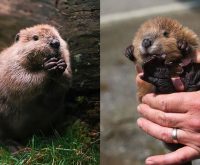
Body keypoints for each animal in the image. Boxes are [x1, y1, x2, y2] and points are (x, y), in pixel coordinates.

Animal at [0, 23, 72, 151]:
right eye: (35, 38)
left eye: (58, 35)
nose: (55, 42)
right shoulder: (11, 66)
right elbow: (20, 81)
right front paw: (49, 67)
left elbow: (62, 86)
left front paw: (61, 65)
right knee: (4, 137)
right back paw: (16, 147)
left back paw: (53, 136)